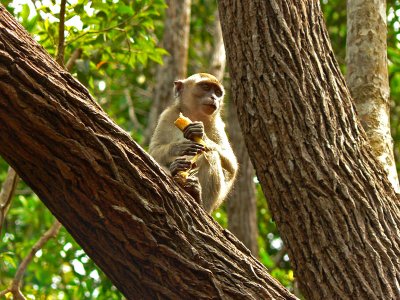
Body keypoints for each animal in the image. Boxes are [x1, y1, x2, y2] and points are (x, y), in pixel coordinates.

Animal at [149, 72, 238, 213]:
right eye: (206, 87)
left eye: (218, 92)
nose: (214, 97)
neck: (194, 116)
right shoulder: (167, 115)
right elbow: (154, 151)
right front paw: (178, 147)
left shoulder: (217, 125)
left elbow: (232, 165)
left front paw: (199, 132)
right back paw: (176, 169)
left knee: (211, 155)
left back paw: (198, 197)